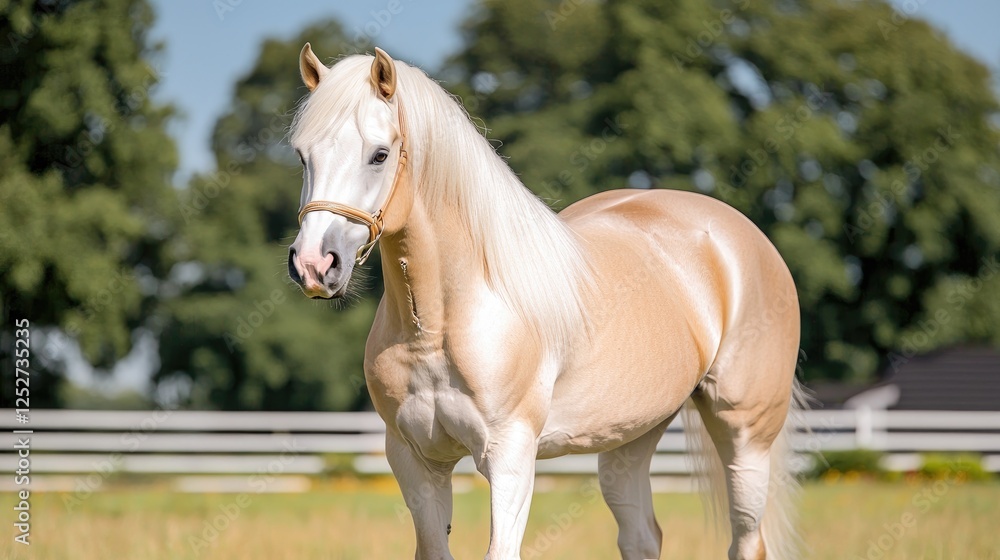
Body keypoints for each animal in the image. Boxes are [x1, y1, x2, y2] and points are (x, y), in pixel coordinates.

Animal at [286, 44, 806, 560]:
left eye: (379, 154)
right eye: (302, 156)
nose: (313, 264)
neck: (436, 325)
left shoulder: (510, 456)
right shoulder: (414, 459)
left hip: (746, 437)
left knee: (747, 540)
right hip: (632, 436)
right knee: (642, 535)